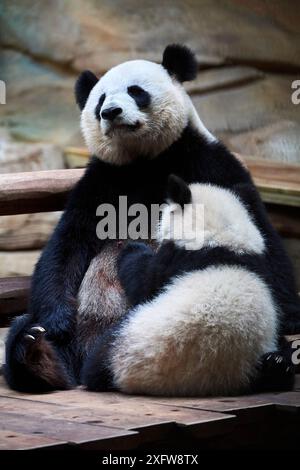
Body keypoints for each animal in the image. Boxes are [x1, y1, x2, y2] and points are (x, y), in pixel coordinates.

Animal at [82, 174, 296, 394]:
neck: (222, 239)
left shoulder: (175, 259)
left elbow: (144, 281)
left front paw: (132, 249)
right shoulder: (260, 262)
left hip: (128, 342)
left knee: (100, 359)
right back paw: (277, 364)